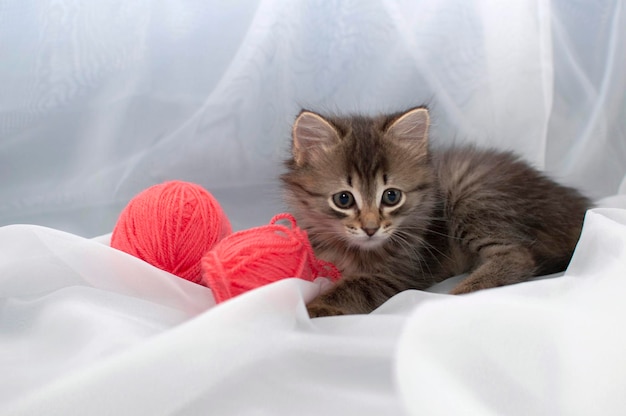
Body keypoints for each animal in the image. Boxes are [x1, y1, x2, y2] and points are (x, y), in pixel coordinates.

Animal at [280, 106, 588, 316]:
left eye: (391, 196)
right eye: (343, 199)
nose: (371, 228)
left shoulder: (396, 275)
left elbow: (350, 288)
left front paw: (311, 308)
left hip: (472, 193)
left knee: (517, 255)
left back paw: (459, 294)